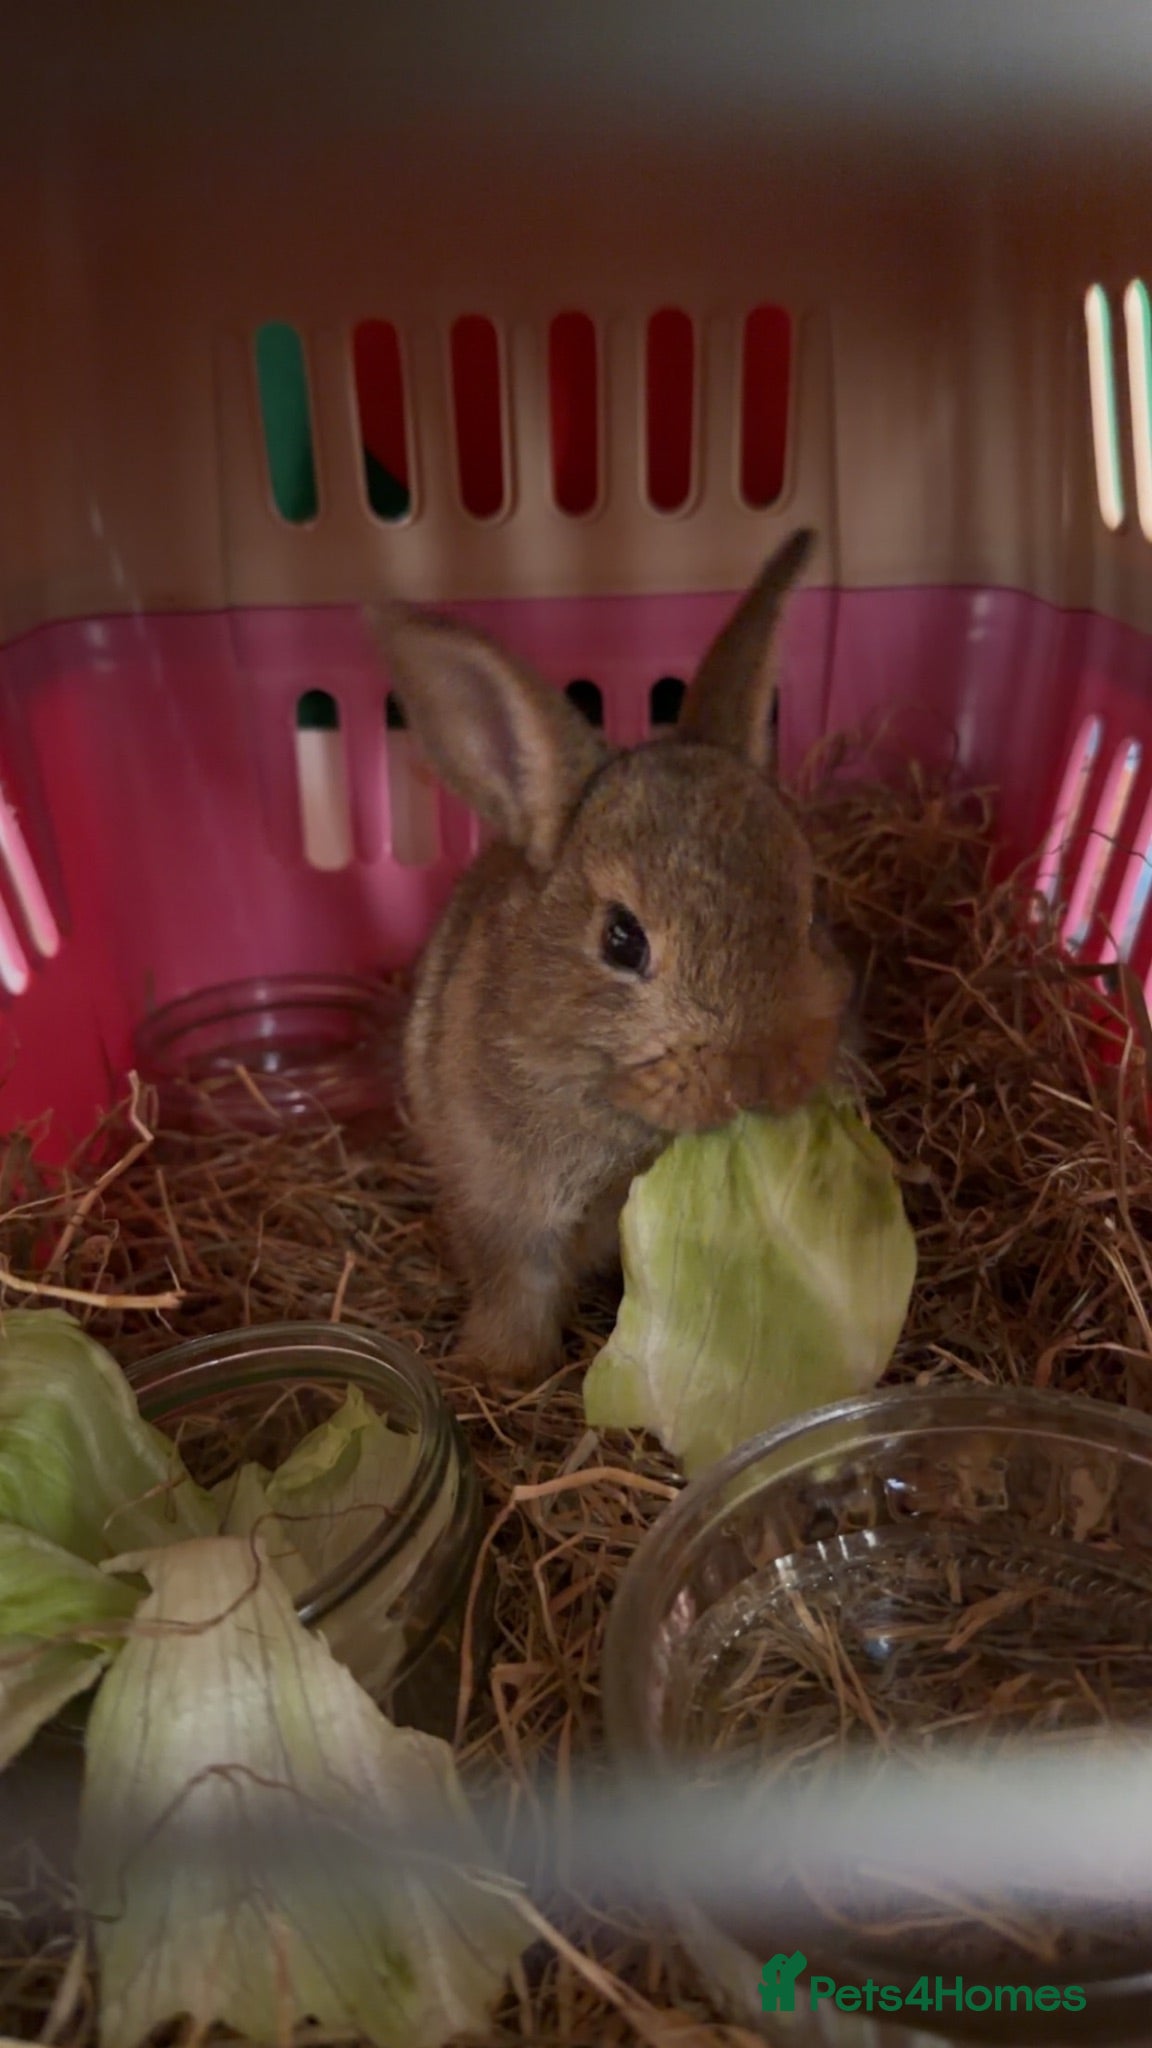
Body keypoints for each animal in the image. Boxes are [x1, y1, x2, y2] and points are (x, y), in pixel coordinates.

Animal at [367, 528, 853, 1389]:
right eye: (622, 940)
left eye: (808, 909)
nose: (764, 1077)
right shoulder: (509, 1208)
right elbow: (516, 1290)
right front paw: (500, 1369)